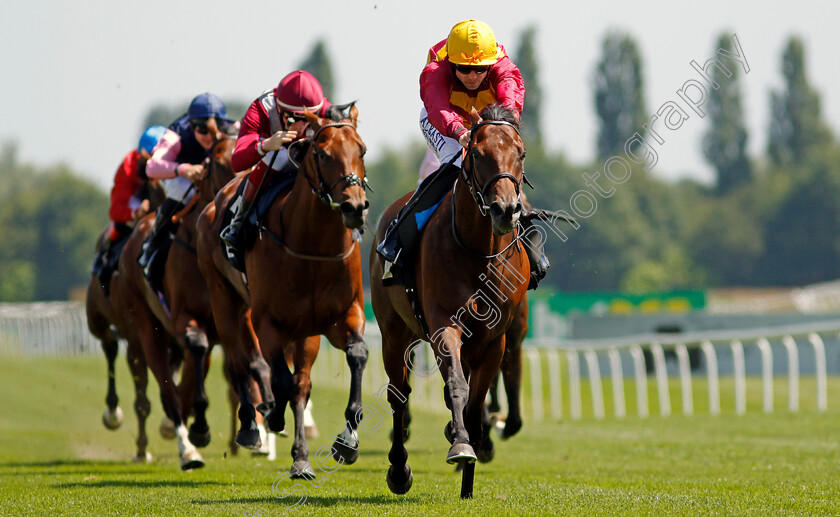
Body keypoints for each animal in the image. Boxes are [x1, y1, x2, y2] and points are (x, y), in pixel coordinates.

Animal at [199, 103, 370, 478]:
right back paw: (251, 426)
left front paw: (347, 441)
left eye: (362, 150)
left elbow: (356, 356)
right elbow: (280, 380)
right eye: (322, 154)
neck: (313, 246)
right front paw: (272, 414)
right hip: (223, 299)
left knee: (301, 383)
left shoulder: (342, 315)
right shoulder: (269, 323)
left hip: (305, 331)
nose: (354, 206)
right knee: (238, 360)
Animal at [370, 106, 528, 500]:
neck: (478, 251)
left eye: (520, 153)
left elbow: (475, 401)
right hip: (394, 333)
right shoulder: (445, 325)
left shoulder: (496, 339)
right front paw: (460, 445)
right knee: (399, 396)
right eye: (478, 153)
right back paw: (399, 470)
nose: (505, 210)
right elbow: (457, 386)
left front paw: (469, 475)